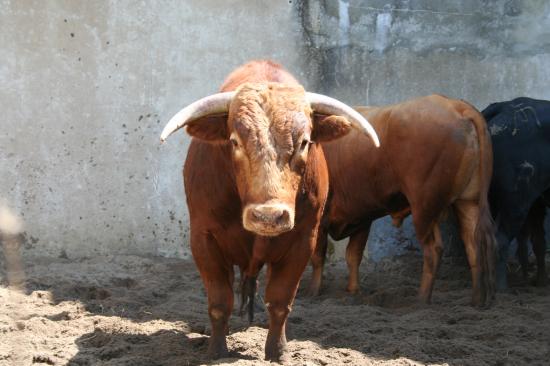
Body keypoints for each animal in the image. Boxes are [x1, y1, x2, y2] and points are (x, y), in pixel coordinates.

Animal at [162, 60, 382, 360]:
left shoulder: (303, 241)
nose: (268, 216)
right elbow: (219, 302)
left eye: (304, 142)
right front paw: (216, 351)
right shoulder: (203, 239)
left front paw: (278, 352)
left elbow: (280, 301)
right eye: (234, 141)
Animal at [310, 94, 500, 306]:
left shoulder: (322, 217)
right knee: (474, 247)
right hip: (466, 202)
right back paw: (477, 300)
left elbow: (318, 255)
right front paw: (353, 291)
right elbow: (353, 255)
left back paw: (422, 299)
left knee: (434, 250)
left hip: (423, 206)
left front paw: (314, 292)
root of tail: (455, 105)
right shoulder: (361, 216)